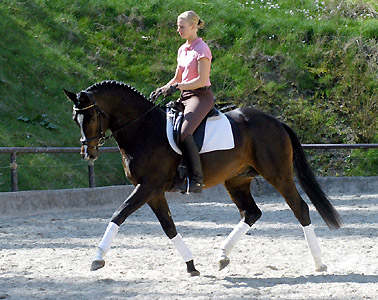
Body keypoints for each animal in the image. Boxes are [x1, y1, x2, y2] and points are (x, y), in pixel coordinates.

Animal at [64, 80, 342, 276]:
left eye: (91, 116)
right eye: (75, 118)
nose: (88, 153)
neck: (144, 129)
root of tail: (275, 122)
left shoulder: (148, 187)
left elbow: (118, 214)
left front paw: (97, 258)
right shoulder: (153, 192)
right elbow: (168, 227)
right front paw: (191, 265)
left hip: (278, 174)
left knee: (300, 208)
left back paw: (319, 263)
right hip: (236, 180)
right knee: (251, 213)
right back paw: (223, 256)